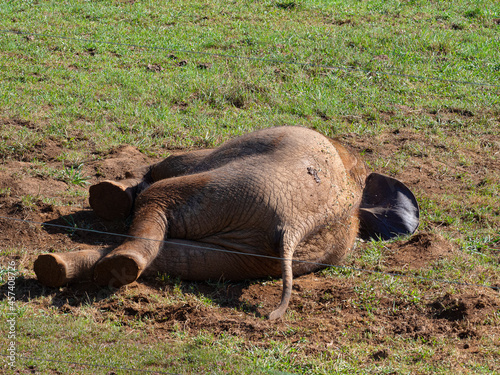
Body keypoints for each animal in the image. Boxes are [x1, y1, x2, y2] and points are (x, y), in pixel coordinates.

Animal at [33, 127, 420, 320]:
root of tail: (295, 227)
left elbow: (168, 165)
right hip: (248, 251)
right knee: (179, 258)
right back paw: (62, 268)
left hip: (237, 189)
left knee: (157, 198)